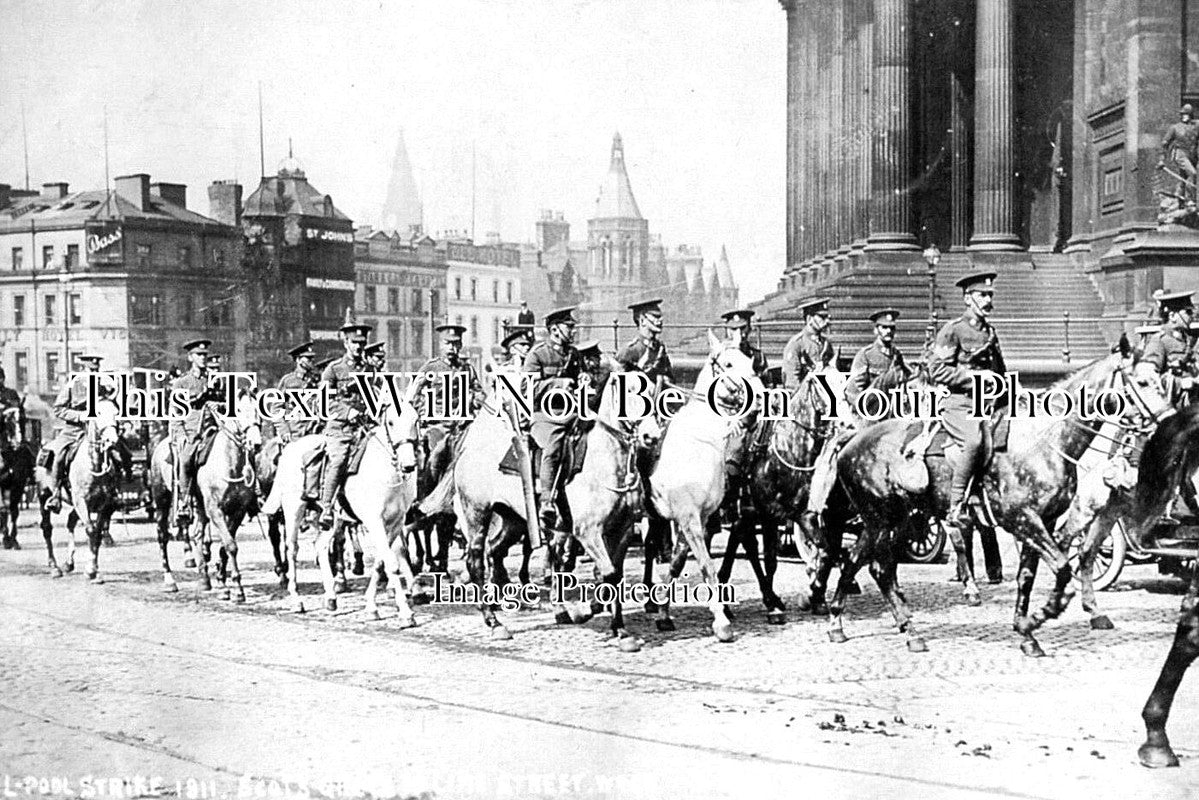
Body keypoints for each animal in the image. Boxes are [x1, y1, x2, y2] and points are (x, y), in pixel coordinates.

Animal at [262, 402, 422, 623]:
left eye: (416, 420)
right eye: (391, 422)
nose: (408, 465)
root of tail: (290, 448)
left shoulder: (395, 523)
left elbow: (380, 562)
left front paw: (371, 606)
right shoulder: (375, 522)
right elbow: (391, 563)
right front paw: (406, 613)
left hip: (331, 519)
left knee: (320, 546)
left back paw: (331, 597)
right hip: (293, 509)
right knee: (292, 549)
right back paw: (296, 600)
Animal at [652, 333, 762, 642]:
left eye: (750, 360)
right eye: (728, 364)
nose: (760, 398)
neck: (700, 441)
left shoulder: (698, 518)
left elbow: (677, 563)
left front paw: (663, 613)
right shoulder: (688, 518)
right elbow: (706, 565)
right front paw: (721, 622)